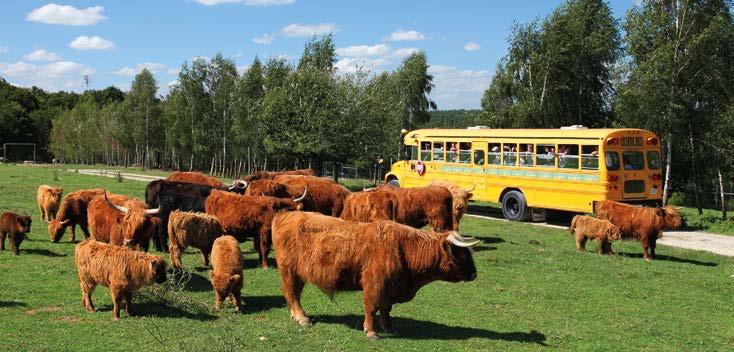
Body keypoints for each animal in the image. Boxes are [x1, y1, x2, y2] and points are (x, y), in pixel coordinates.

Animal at [274, 210, 480, 340]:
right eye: (462, 254)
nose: (474, 274)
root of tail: (285, 214)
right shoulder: (374, 283)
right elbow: (372, 307)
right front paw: (371, 331)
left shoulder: (389, 287)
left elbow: (386, 309)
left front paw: (389, 328)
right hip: (289, 271)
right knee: (292, 294)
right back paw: (302, 318)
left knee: (293, 294)